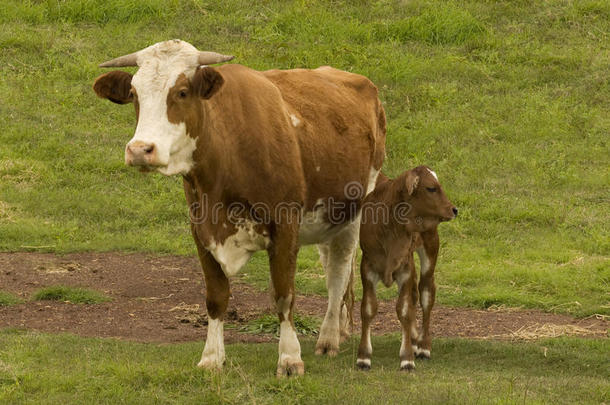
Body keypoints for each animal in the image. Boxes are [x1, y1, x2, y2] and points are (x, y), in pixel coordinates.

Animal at [92, 40, 382, 376]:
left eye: (182, 92)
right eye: (134, 93)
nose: (140, 150)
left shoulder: (285, 226)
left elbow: (284, 295)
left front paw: (289, 357)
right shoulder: (201, 229)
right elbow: (216, 298)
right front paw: (211, 357)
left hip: (358, 206)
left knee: (338, 272)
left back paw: (329, 337)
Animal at [354, 164, 454, 370]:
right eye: (431, 188)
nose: (453, 209)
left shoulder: (404, 269)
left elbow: (405, 310)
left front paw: (407, 358)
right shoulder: (367, 267)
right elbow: (368, 308)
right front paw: (364, 357)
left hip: (430, 247)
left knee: (426, 293)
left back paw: (423, 346)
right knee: (415, 294)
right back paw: (415, 340)